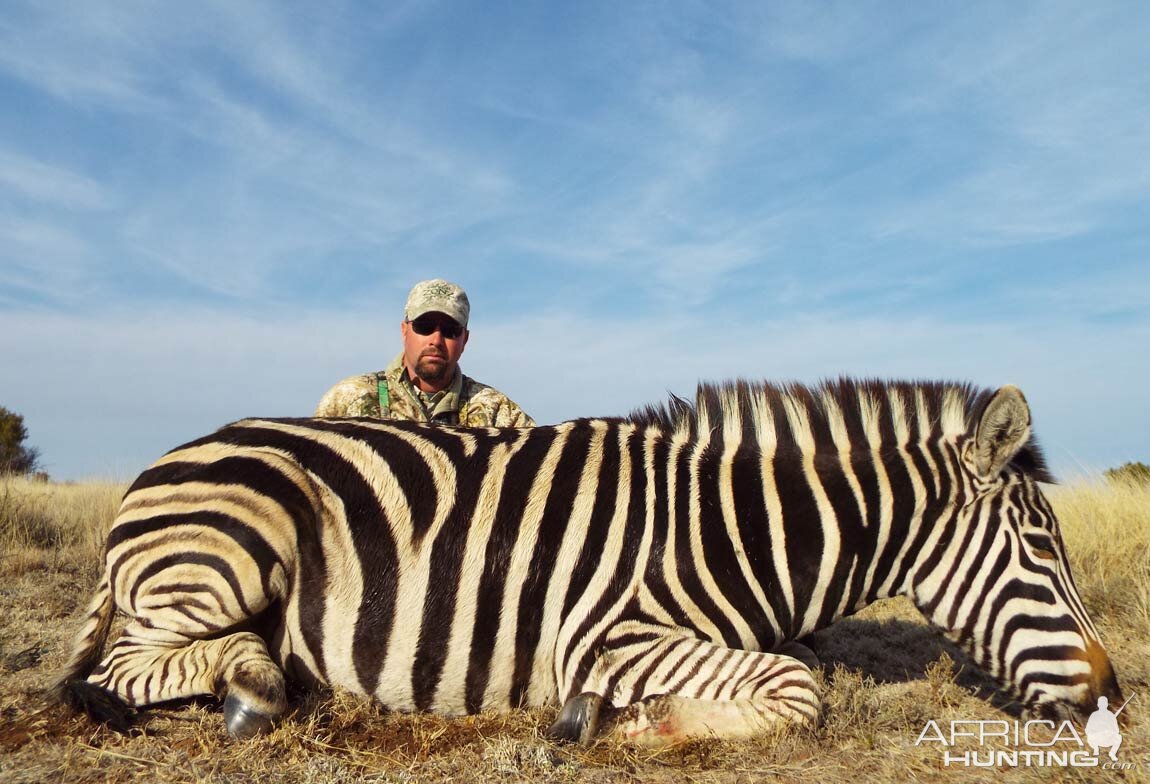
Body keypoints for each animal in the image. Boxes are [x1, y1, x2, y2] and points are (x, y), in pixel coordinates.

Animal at [58, 374, 1117, 740]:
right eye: (1041, 548)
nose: (1112, 693)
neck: (731, 527)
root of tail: (167, 461)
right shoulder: (607, 635)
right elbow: (800, 691)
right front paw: (639, 722)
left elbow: (795, 668)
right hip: (229, 555)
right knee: (122, 670)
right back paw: (251, 683)